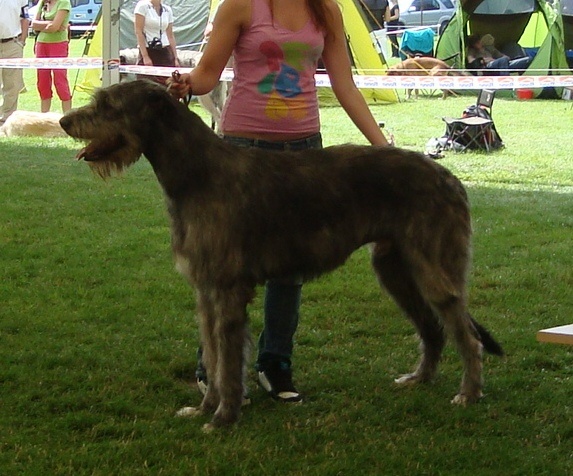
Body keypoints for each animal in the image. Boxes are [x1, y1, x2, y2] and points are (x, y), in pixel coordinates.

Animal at [60, 80, 502, 430]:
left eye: (107, 104)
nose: (65, 122)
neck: (196, 173)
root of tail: (450, 178)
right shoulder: (205, 290)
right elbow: (213, 357)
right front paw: (204, 408)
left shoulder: (228, 288)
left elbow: (228, 360)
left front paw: (224, 418)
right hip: (393, 267)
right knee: (432, 328)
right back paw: (420, 379)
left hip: (432, 263)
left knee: (464, 333)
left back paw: (470, 392)